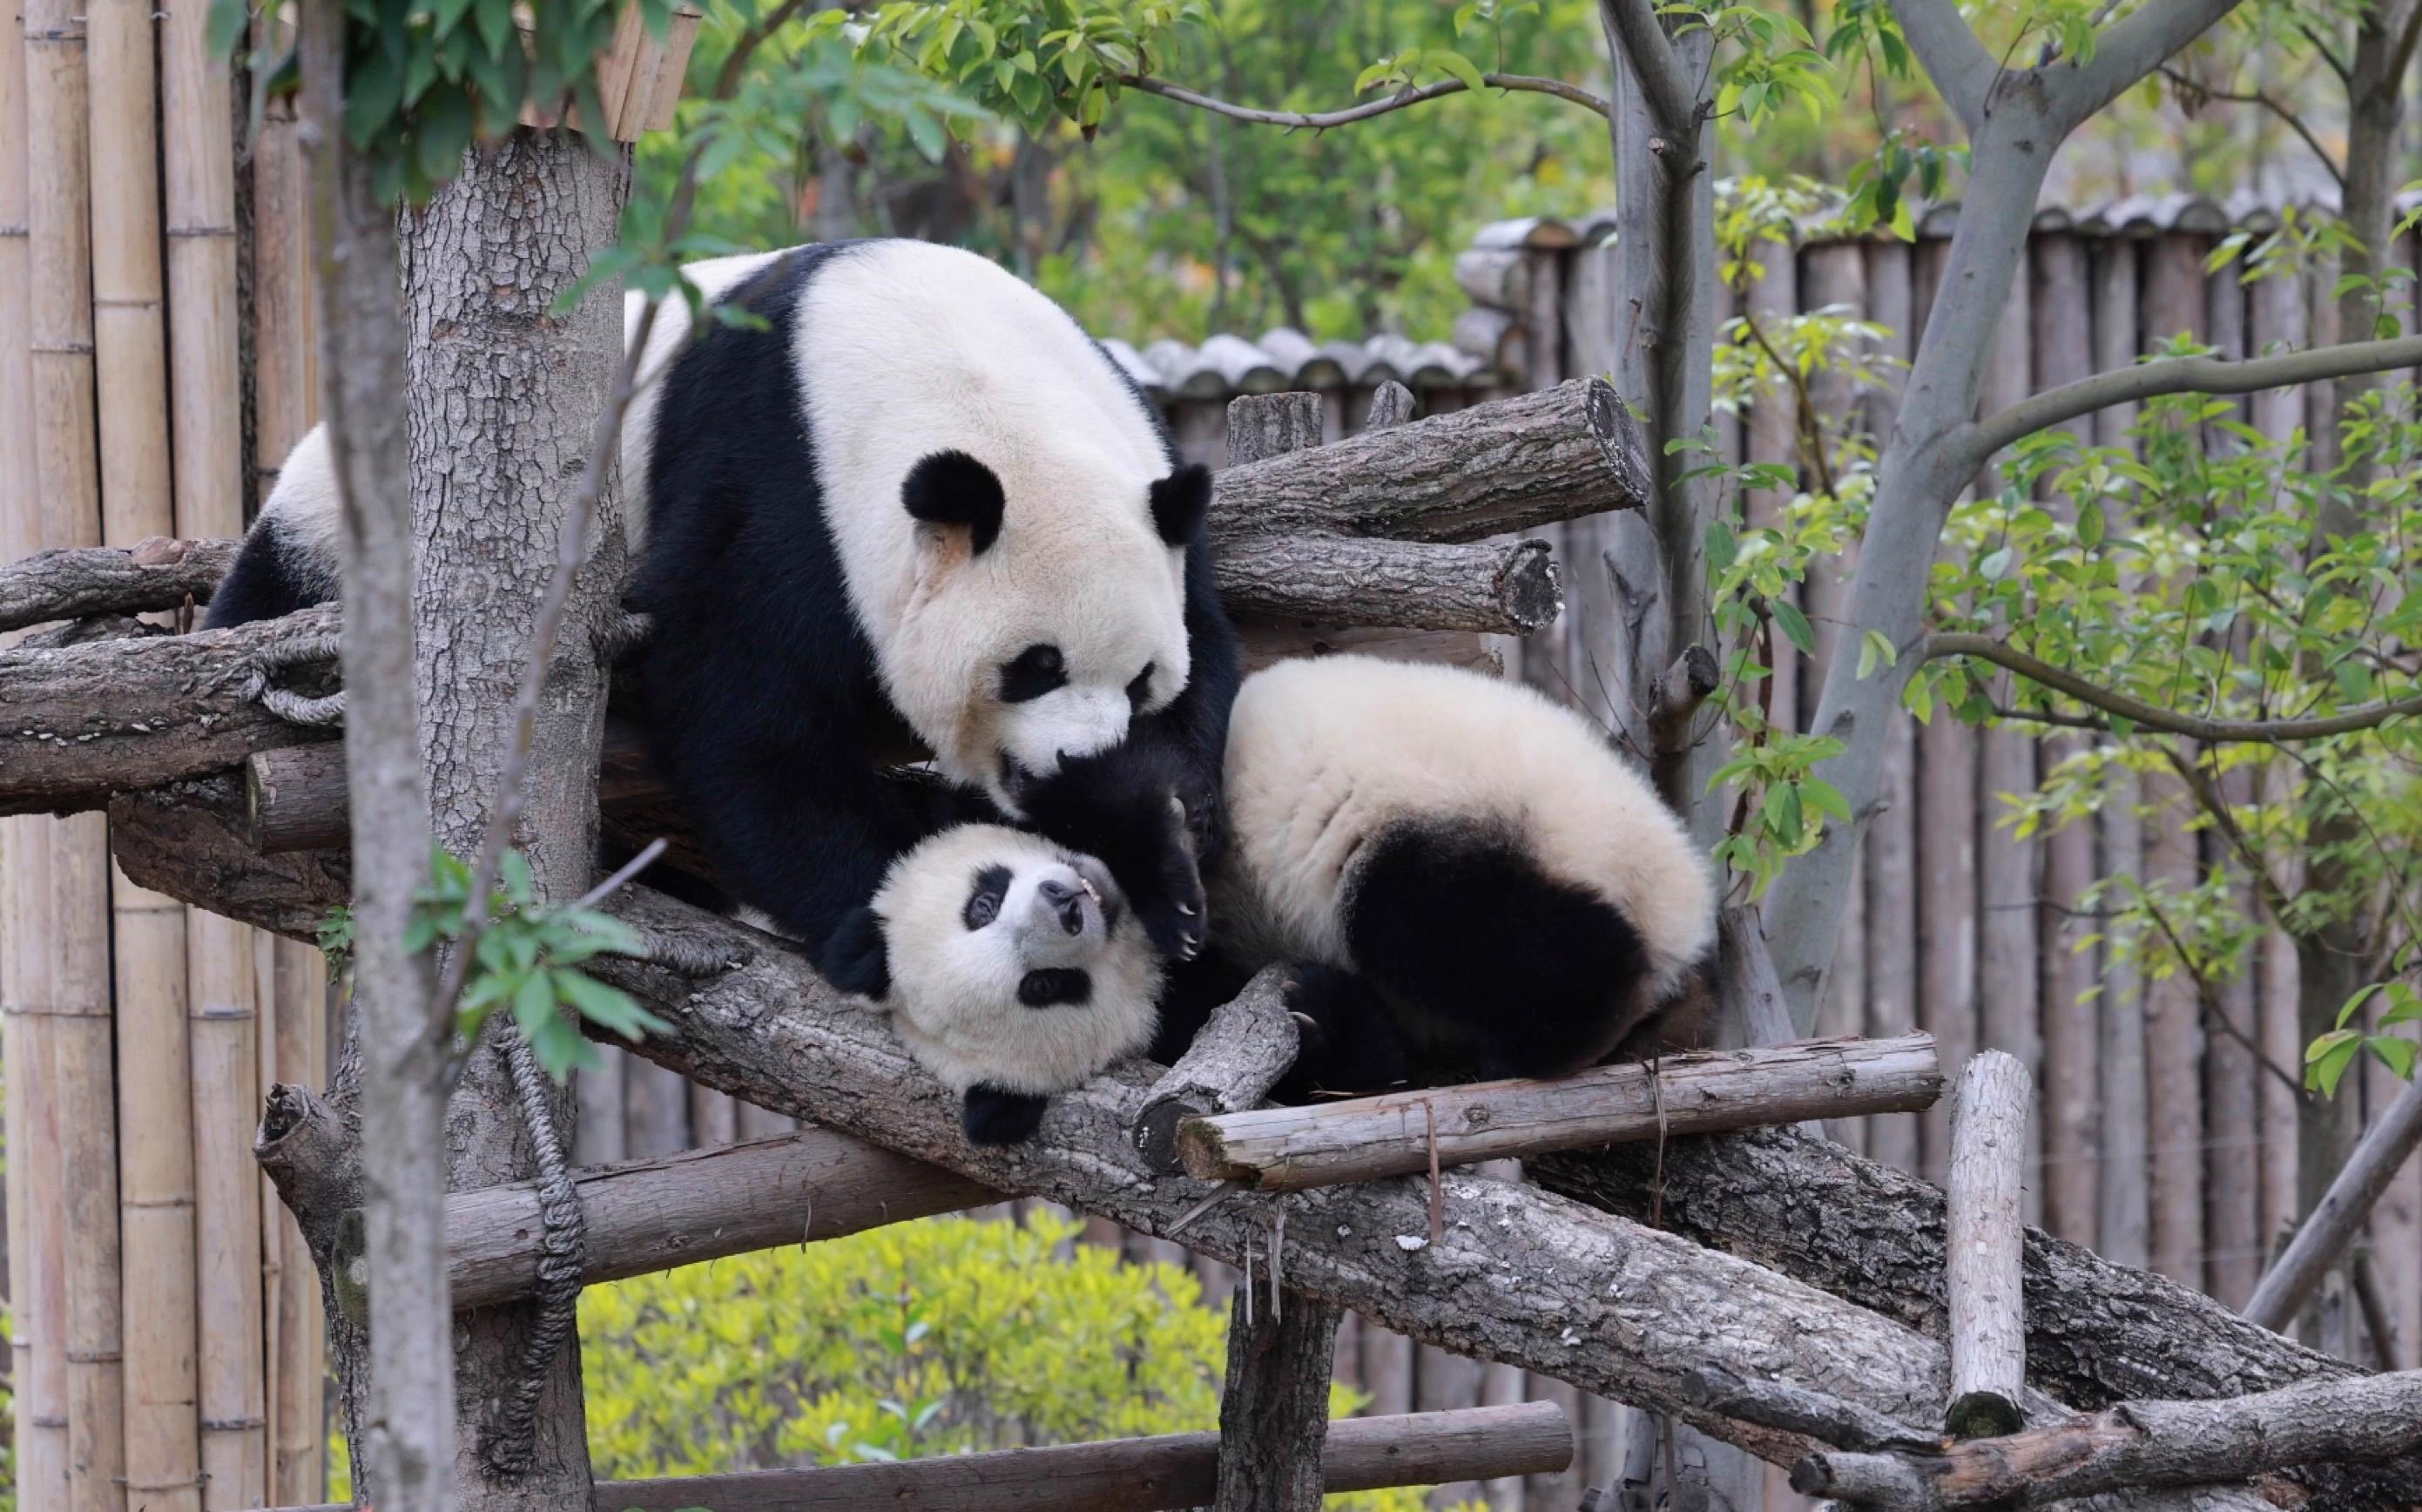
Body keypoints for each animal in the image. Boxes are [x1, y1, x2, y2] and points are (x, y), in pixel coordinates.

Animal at [207, 240, 1241, 979]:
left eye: (1139, 680)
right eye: (1034, 666)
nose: (1074, 760)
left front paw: (1164, 872)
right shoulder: (777, 475)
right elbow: (748, 717)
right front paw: (886, 922)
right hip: (328, 533)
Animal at [833, 653, 1718, 1143]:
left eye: (980, 901)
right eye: (1044, 988)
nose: (1067, 905)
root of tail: (1677, 907)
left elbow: (1133, 769)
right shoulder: (1185, 1013)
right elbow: (1352, 1076)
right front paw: (1321, 1014)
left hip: (1523, 813)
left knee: (1435, 918)